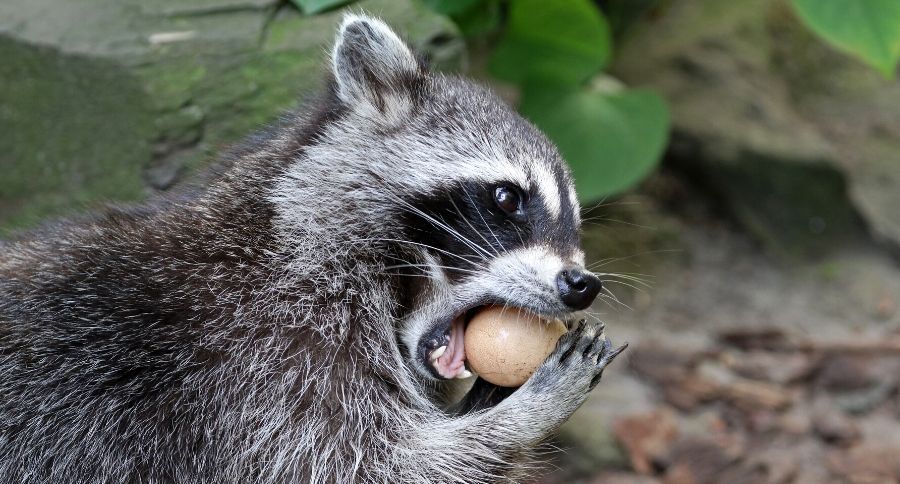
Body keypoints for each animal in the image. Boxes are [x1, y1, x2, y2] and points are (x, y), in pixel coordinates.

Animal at [0, 14, 625, 484]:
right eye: (506, 197)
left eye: (574, 222)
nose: (581, 285)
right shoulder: (256, 359)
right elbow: (355, 465)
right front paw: (519, 418)